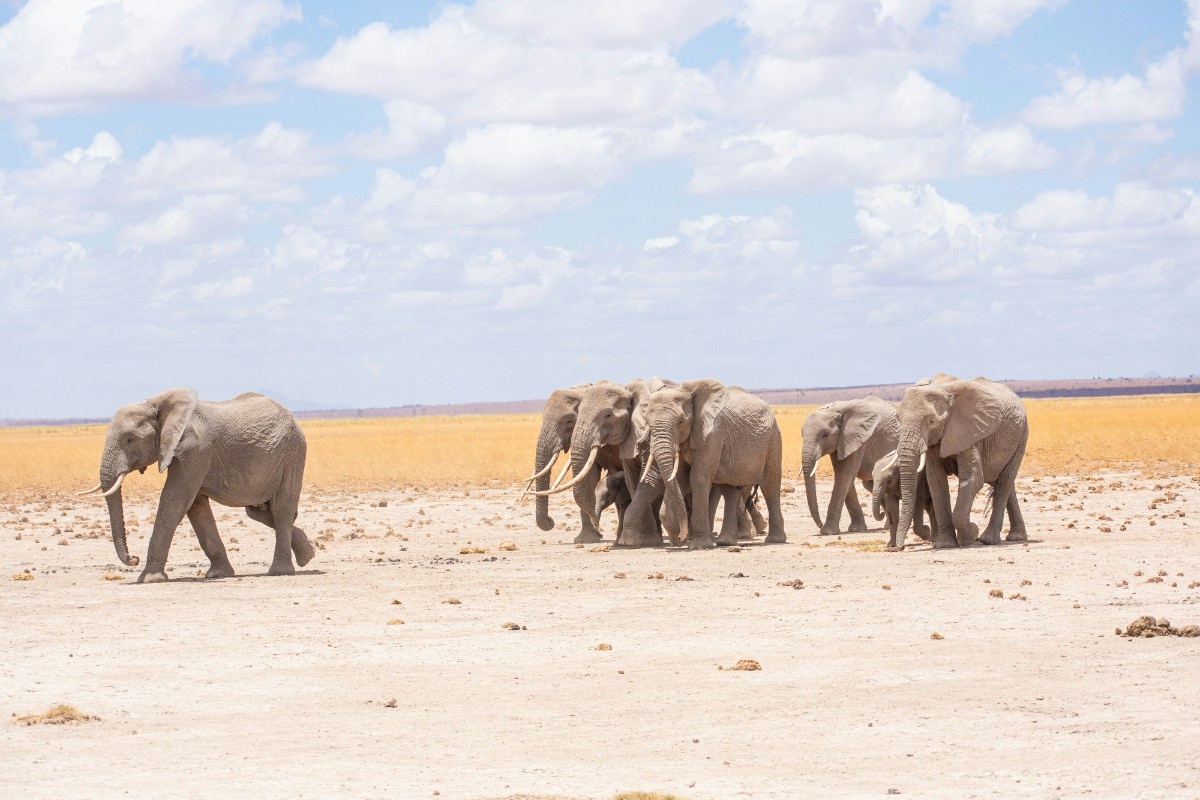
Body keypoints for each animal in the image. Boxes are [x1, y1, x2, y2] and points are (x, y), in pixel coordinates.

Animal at [77, 391, 316, 585]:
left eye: (130, 439)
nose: (133, 559)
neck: (156, 406)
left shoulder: (194, 451)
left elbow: (174, 502)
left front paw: (149, 579)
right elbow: (196, 507)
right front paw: (218, 575)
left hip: (292, 453)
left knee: (280, 509)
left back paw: (279, 571)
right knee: (258, 511)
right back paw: (308, 554)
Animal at [638, 379, 787, 546]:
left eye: (681, 422)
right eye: (648, 423)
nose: (680, 538)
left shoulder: (712, 434)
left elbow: (698, 478)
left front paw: (699, 545)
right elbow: (679, 478)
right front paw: (677, 538)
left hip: (773, 439)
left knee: (770, 486)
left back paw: (775, 540)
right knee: (731, 492)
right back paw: (726, 542)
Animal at [801, 395, 897, 534]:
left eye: (825, 435)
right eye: (802, 435)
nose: (819, 525)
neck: (834, 410)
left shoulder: (857, 438)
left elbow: (844, 475)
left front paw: (827, 532)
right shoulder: (841, 442)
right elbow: (844, 477)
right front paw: (857, 529)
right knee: (870, 484)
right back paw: (888, 525)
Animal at [897, 376, 1027, 551]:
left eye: (931, 421)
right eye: (898, 419)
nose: (898, 547)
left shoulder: (970, 433)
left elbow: (973, 478)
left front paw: (971, 535)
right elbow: (936, 482)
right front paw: (945, 545)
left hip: (1021, 437)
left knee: (1004, 482)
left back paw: (988, 539)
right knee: (1005, 482)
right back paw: (1016, 537)